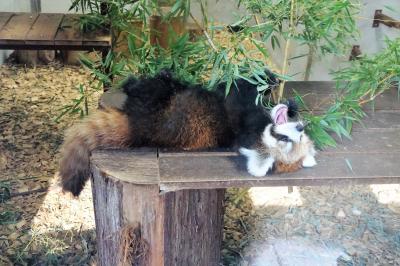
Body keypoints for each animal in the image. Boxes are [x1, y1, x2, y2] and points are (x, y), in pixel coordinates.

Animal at [59, 69, 316, 196]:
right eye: (287, 137)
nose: (300, 127)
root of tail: (141, 128)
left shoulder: (240, 115)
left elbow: (238, 88)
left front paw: (262, 79)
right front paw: (277, 87)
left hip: (163, 107)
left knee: (149, 89)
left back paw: (140, 81)